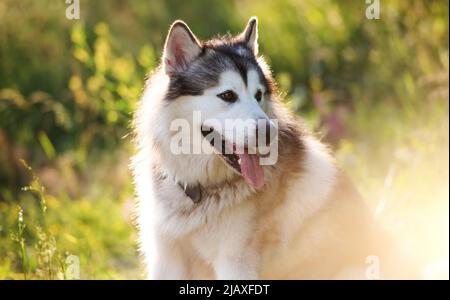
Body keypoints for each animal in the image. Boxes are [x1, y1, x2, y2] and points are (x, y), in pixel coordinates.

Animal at [132, 15, 416, 278]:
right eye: (228, 95)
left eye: (258, 95)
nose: (269, 133)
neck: (199, 189)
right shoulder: (165, 257)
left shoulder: (234, 262)